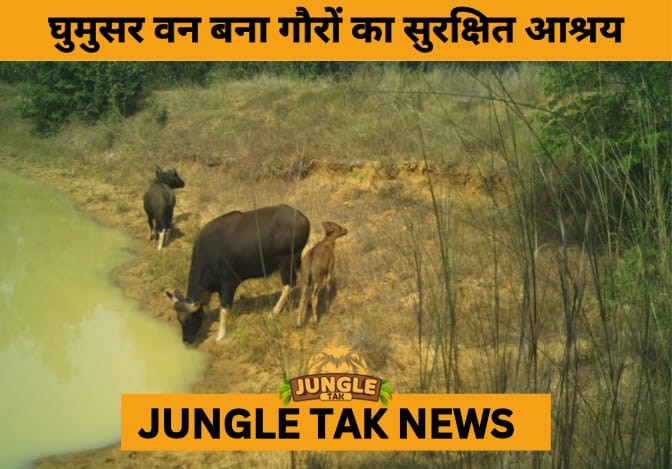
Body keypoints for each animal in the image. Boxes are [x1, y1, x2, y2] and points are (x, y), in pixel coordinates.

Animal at [166, 204, 310, 344]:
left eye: (188, 319)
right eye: (178, 319)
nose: (186, 340)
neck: (210, 256)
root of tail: (303, 218)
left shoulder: (229, 283)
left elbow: (224, 308)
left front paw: (221, 334)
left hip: (287, 260)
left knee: (289, 284)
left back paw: (274, 312)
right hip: (296, 260)